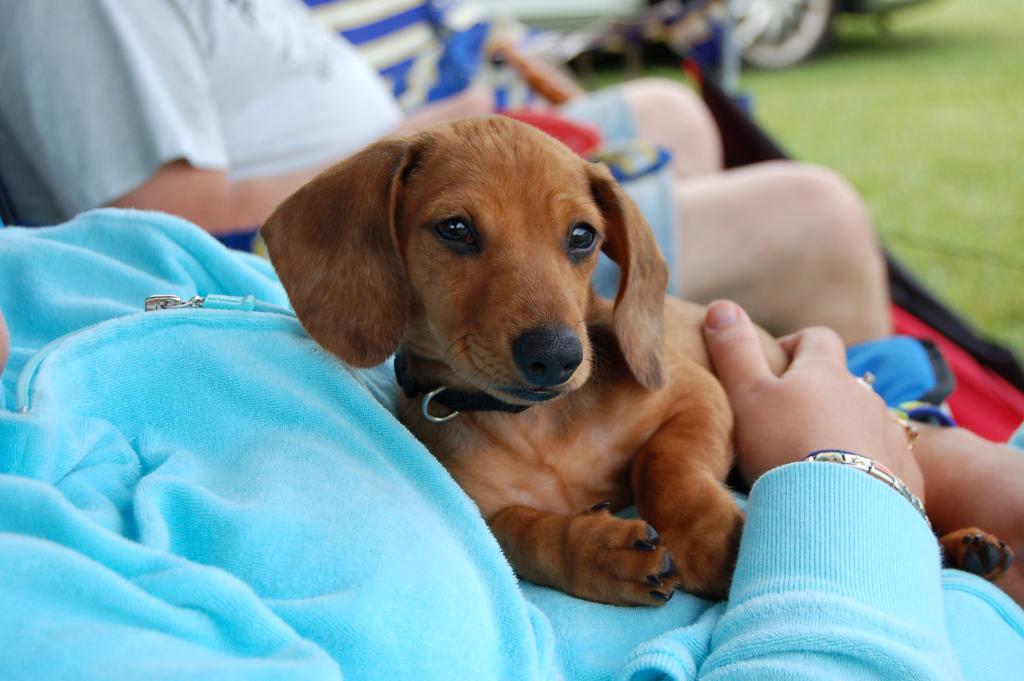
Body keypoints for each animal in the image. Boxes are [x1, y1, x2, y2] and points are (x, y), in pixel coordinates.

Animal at [262, 114, 782, 602]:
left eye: (582, 235)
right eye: (455, 228)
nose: (555, 357)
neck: (536, 424)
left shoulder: (699, 396)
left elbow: (665, 465)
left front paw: (706, 537)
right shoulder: (482, 516)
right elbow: (523, 532)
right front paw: (597, 552)